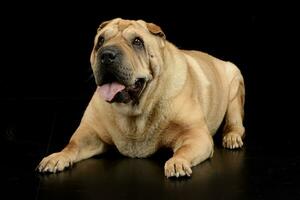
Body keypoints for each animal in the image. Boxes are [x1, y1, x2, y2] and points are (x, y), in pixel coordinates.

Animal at [37, 18, 245, 178]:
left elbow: (184, 150)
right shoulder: (90, 133)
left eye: (137, 42)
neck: (135, 111)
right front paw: (56, 157)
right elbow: (72, 145)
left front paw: (177, 162)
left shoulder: (196, 134)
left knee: (235, 122)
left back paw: (231, 137)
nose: (107, 54)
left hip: (235, 82)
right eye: (100, 41)